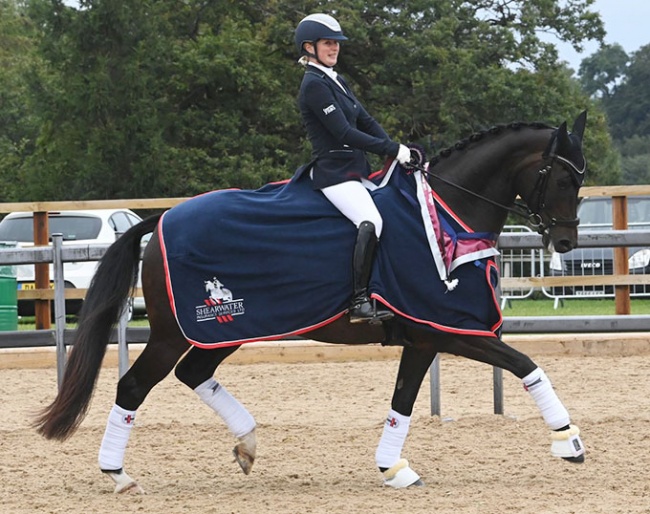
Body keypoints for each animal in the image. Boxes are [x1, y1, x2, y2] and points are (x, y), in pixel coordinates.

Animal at [33, 111, 584, 492]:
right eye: (563, 178)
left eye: (580, 179)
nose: (565, 242)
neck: (448, 215)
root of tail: (163, 217)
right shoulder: (450, 329)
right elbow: (526, 365)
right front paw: (568, 441)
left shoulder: (423, 337)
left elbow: (402, 402)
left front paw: (394, 469)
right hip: (177, 331)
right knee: (134, 385)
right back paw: (119, 475)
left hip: (225, 330)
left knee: (192, 374)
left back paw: (247, 444)